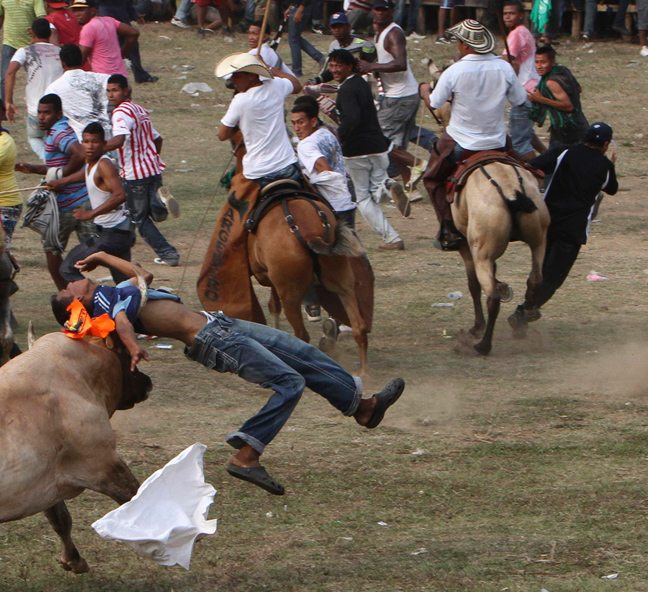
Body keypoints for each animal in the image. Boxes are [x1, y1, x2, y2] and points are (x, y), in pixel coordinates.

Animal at [0, 330, 153, 572]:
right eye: (127, 354)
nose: (147, 381)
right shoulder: (104, 462)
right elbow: (138, 497)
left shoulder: (49, 480)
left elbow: (61, 519)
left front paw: (73, 560)